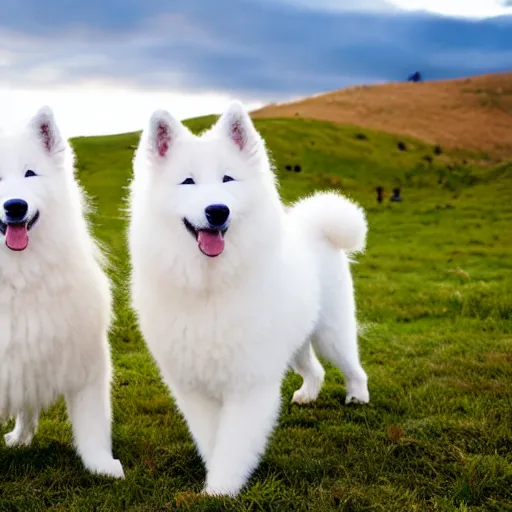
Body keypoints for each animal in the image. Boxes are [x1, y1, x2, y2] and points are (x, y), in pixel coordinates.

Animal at [0, 106, 124, 478]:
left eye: (30, 173)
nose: (15, 206)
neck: (18, 273)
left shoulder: (87, 362)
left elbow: (94, 429)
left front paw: (102, 466)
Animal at [128, 100, 368, 496]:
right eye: (188, 182)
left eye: (228, 179)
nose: (217, 210)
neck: (210, 286)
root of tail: (314, 227)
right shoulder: (193, 387)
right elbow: (212, 440)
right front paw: (214, 481)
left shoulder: (249, 382)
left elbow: (234, 442)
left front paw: (221, 490)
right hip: (296, 342)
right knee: (314, 369)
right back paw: (308, 395)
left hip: (331, 334)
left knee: (353, 367)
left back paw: (357, 397)